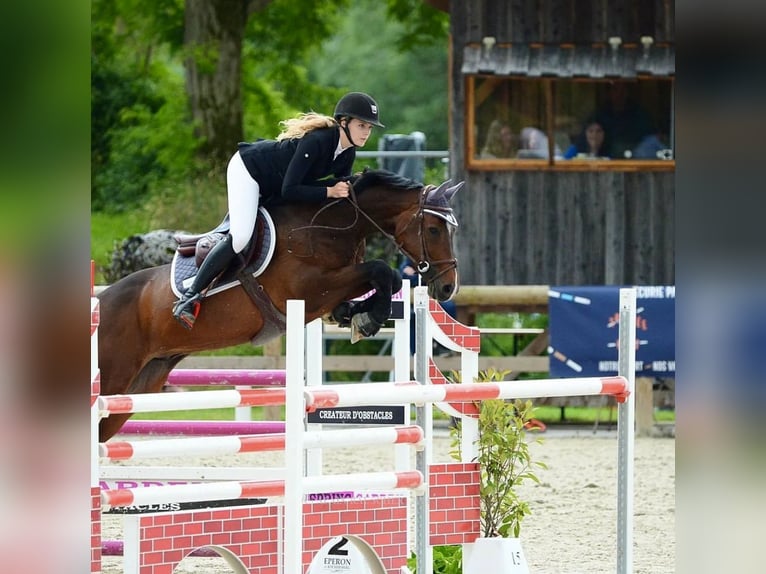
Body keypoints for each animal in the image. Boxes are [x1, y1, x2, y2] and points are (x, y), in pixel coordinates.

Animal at [96, 170, 462, 440]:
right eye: (433, 229)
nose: (447, 287)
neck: (325, 227)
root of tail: (100, 301)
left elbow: (380, 279)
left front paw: (353, 315)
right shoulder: (310, 288)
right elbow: (381, 270)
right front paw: (368, 319)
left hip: (138, 386)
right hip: (114, 376)